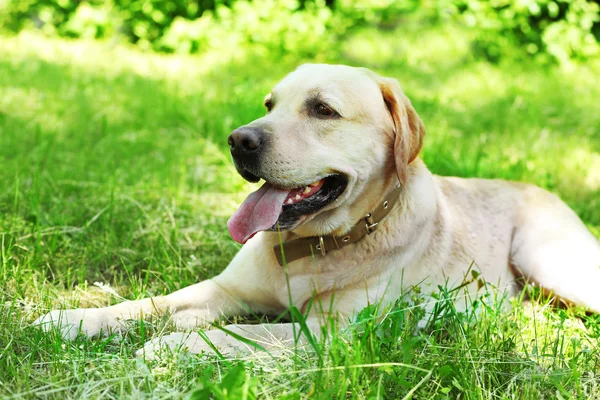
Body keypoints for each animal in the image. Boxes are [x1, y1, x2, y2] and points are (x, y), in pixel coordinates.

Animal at [35, 64, 600, 358]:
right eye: (269, 104)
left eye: (323, 110)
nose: (238, 140)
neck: (313, 248)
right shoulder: (225, 288)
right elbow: (148, 303)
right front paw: (74, 318)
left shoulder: (329, 331)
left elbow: (244, 331)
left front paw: (172, 348)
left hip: (547, 259)